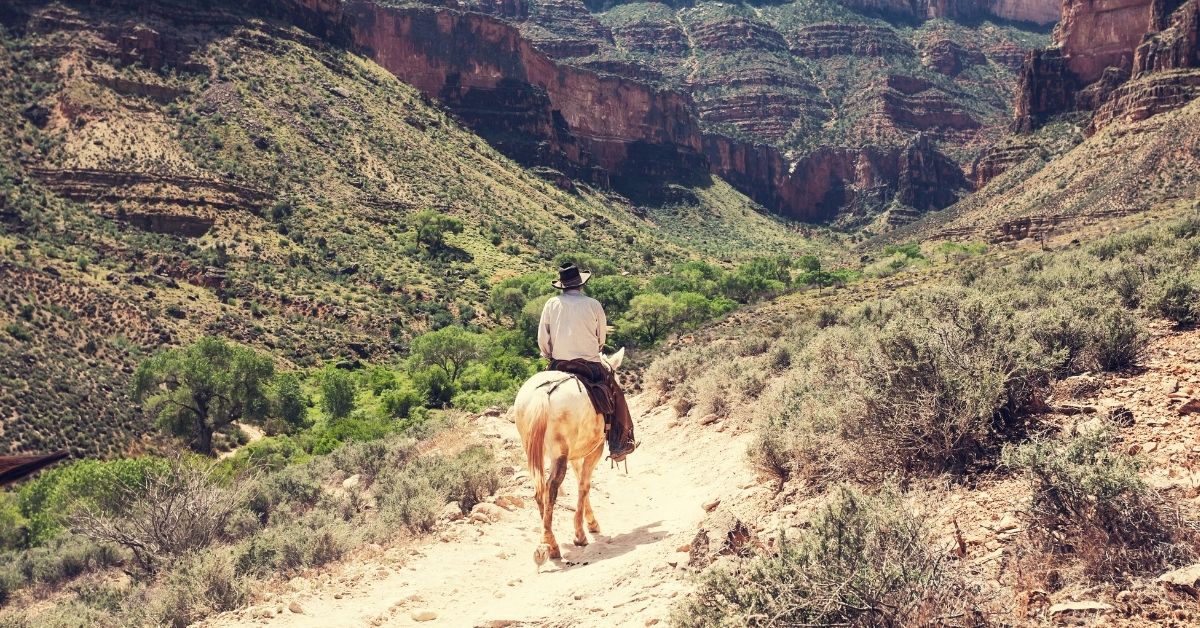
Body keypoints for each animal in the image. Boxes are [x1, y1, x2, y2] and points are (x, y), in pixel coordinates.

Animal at [513, 345, 628, 561]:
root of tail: (543, 393)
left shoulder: (576, 454)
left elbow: (580, 480)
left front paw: (590, 523)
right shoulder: (595, 450)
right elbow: (584, 485)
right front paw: (581, 533)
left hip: (533, 451)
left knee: (539, 490)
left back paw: (548, 539)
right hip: (559, 454)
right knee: (551, 487)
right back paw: (553, 545)